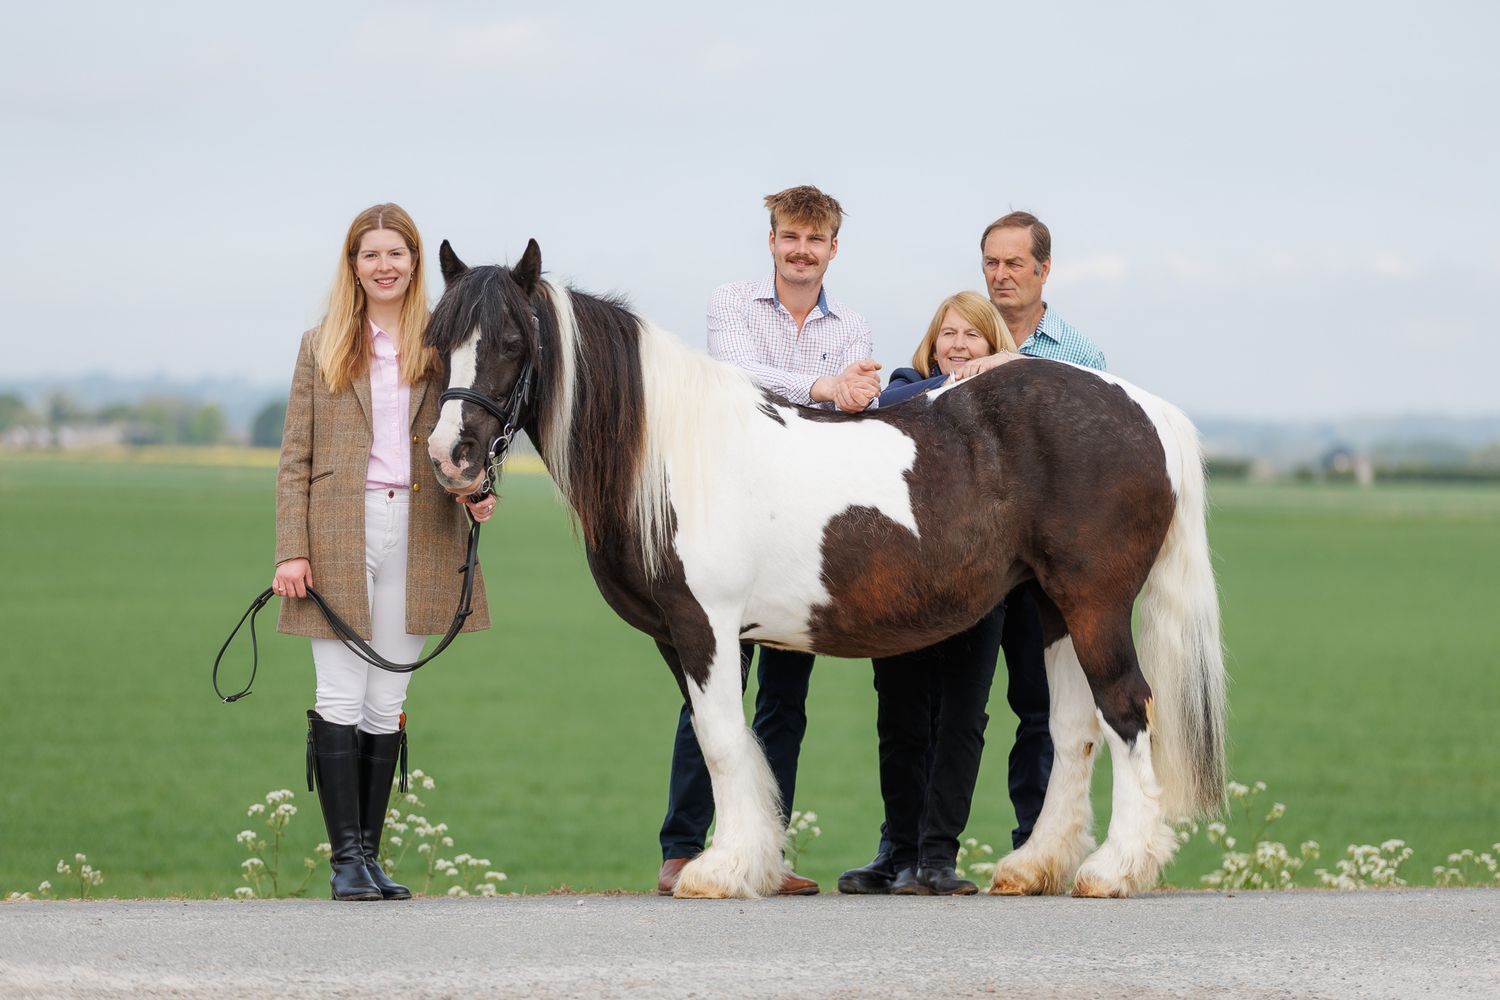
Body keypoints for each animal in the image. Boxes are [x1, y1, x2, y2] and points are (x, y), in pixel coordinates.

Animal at [423, 238, 1227, 899]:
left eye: (511, 341)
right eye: (436, 341)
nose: (449, 457)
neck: (673, 455)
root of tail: (1145, 409)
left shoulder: (705, 627)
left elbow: (723, 741)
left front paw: (720, 871)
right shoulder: (678, 638)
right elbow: (725, 741)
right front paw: (753, 863)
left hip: (1094, 602)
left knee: (1126, 710)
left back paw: (1115, 870)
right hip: (1053, 607)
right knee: (1072, 725)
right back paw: (1034, 866)